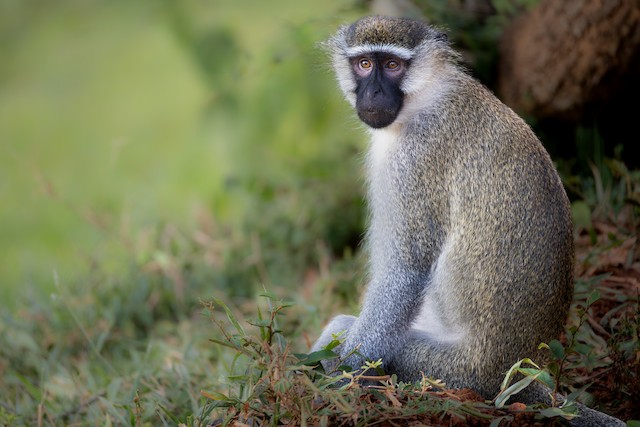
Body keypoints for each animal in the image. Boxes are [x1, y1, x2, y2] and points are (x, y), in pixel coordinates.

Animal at [312, 16, 624, 426]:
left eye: (392, 65)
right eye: (364, 64)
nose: (374, 92)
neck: (427, 95)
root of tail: (519, 374)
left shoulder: (413, 161)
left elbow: (405, 273)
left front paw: (340, 379)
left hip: (455, 372)